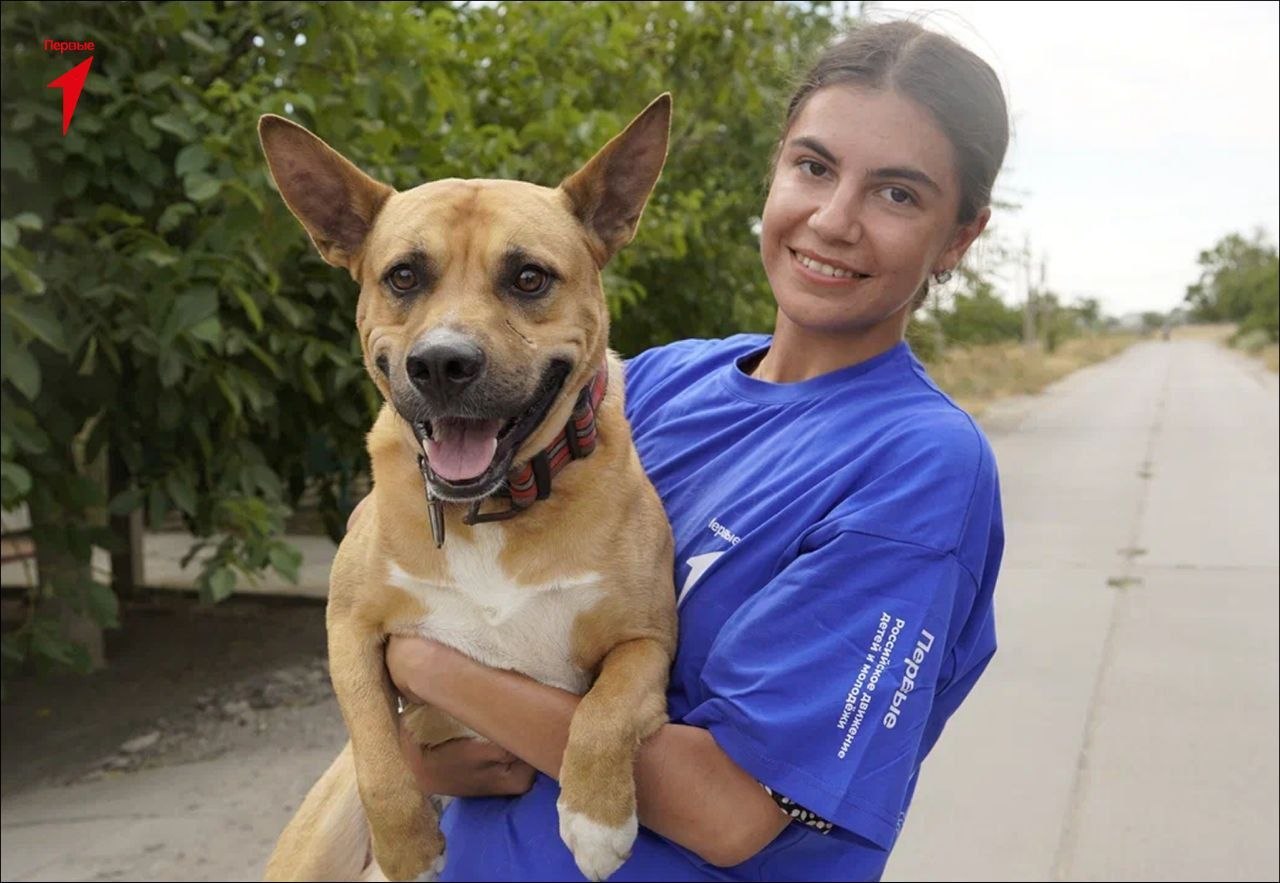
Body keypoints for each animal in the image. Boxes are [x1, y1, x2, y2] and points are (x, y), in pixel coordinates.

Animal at [257, 95, 678, 882]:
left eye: (530, 278)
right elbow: (377, 753)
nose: (441, 364)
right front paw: (407, 846)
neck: (491, 510)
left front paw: (596, 815)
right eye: (402, 276)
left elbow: (606, 708)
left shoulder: (647, 640)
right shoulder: (349, 630)